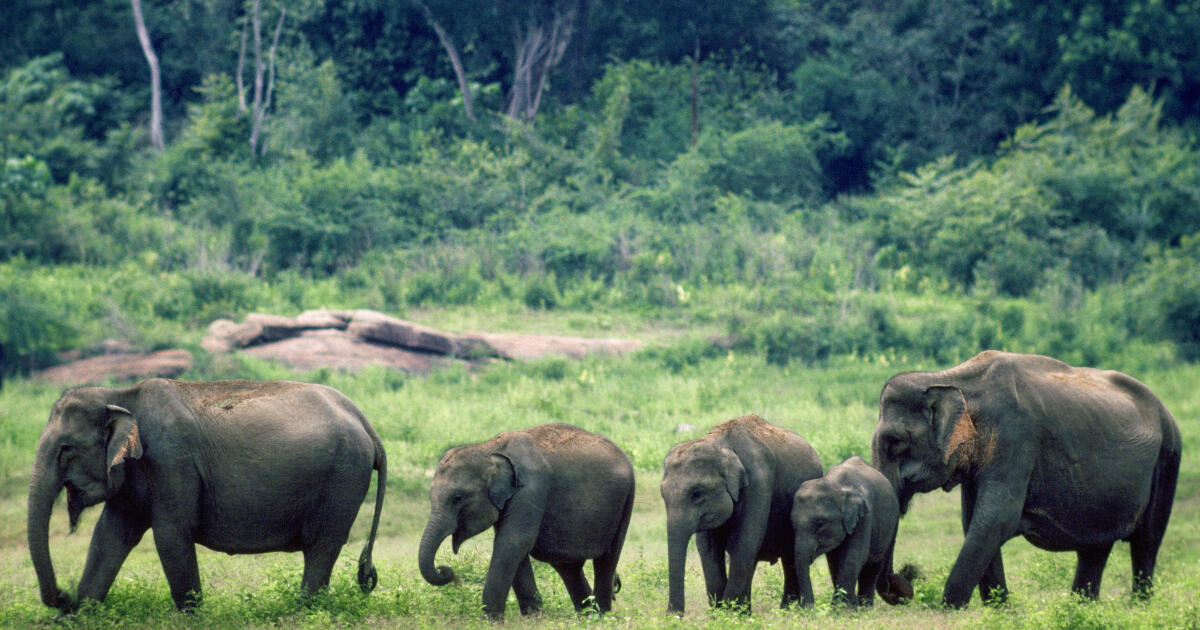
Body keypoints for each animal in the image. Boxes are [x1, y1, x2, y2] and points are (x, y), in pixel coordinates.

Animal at [28, 376, 384, 612]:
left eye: (65, 450)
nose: (62, 596)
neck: (120, 394)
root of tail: (367, 424)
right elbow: (110, 535)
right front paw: (80, 613)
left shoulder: (171, 461)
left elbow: (171, 534)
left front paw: (193, 616)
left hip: (343, 476)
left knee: (323, 545)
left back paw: (304, 611)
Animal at [417, 422, 633, 619]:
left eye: (457, 498)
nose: (445, 570)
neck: (489, 448)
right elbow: (513, 547)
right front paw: (533, 617)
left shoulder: (531, 488)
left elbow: (513, 542)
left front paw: (490, 620)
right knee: (568, 566)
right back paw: (588, 616)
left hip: (625, 503)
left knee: (606, 561)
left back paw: (602, 617)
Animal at [792, 453, 912, 607]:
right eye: (791, 524)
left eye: (820, 523)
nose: (805, 608)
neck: (837, 485)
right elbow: (834, 561)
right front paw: (847, 606)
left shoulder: (865, 517)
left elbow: (853, 557)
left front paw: (841, 609)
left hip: (889, 527)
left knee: (872, 567)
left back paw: (865, 607)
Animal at [868, 350, 1185, 607]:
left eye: (895, 443)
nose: (905, 579)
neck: (952, 379)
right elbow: (975, 521)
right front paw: (1000, 610)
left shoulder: (1016, 439)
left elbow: (996, 519)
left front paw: (950, 609)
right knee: (1096, 548)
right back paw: (1083, 607)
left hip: (1168, 456)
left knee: (1147, 541)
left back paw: (1138, 607)